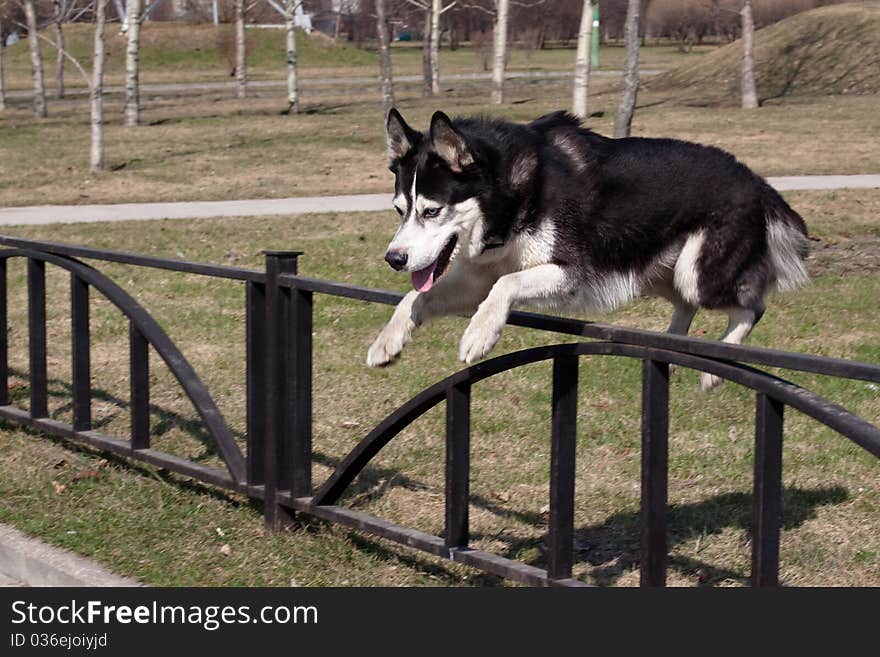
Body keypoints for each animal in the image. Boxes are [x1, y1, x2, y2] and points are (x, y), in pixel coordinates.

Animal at [366, 109, 812, 390]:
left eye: (431, 211)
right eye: (399, 210)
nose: (394, 258)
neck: (513, 195)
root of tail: (757, 181)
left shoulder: (569, 272)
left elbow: (505, 285)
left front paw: (480, 333)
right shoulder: (476, 276)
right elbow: (415, 298)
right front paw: (388, 340)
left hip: (699, 273)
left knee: (751, 306)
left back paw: (716, 365)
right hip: (655, 271)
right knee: (686, 305)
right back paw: (672, 345)